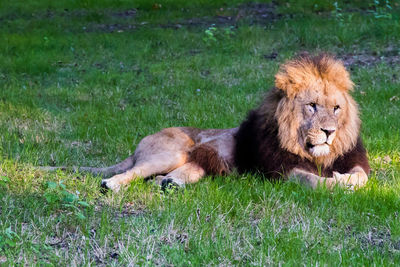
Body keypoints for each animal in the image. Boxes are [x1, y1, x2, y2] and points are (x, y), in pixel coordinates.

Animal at [43, 54, 368, 193]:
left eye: (336, 109)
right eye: (312, 106)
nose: (329, 132)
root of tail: (140, 145)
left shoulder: (352, 158)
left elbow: (362, 176)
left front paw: (347, 180)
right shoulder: (279, 170)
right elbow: (310, 179)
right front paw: (337, 184)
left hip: (199, 161)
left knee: (162, 177)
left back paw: (169, 184)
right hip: (173, 151)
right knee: (134, 172)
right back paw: (111, 184)